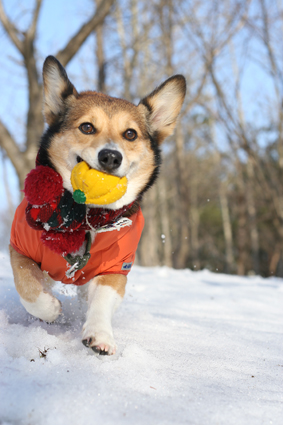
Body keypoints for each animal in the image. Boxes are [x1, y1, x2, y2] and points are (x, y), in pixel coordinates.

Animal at [9, 56, 186, 354]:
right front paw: (50, 309)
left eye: (130, 134)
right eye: (87, 127)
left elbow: (102, 299)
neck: (84, 214)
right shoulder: (20, 249)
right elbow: (29, 288)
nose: (111, 157)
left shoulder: (116, 268)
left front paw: (100, 336)